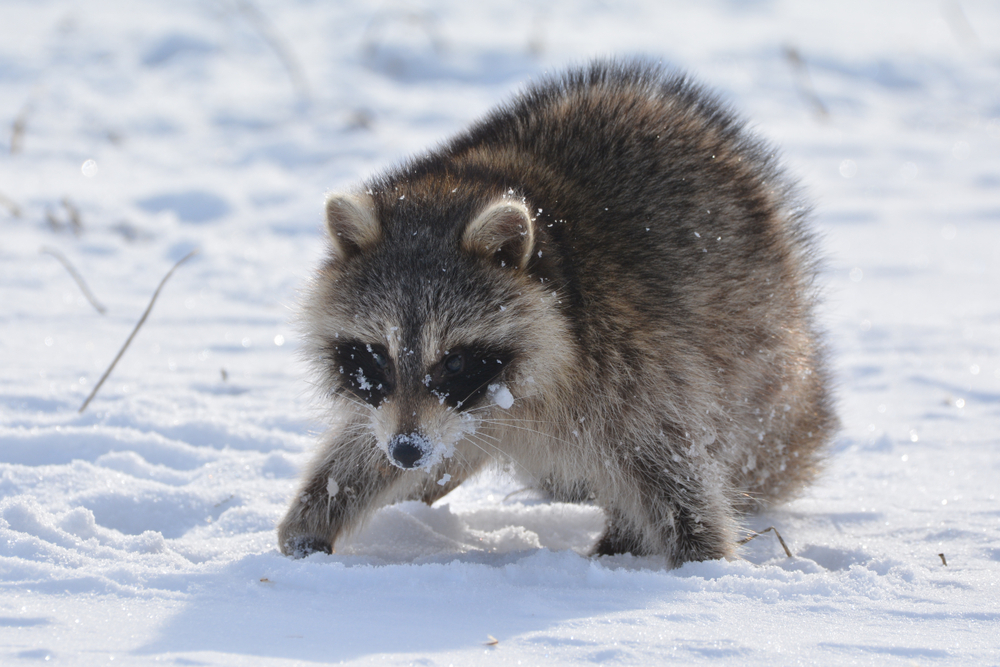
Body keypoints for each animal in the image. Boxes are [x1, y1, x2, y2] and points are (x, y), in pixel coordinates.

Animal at [277, 60, 837, 566]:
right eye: (377, 354)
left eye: (454, 360)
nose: (407, 451)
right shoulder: (407, 411)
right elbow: (364, 443)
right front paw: (314, 517)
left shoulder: (628, 358)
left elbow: (667, 461)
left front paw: (705, 562)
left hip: (753, 347)